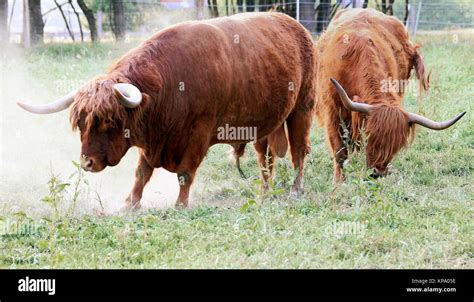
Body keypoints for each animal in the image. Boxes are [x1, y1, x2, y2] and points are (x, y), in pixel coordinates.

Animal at [17, 12, 314, 210]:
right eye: (81, 124)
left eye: (109, 123)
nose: (87, 163)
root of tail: (292, 23)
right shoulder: (153, 143)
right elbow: (141, 173)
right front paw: (129, 204)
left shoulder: (198, 135)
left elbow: (185, 173)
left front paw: (180, 205)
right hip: (265, 124)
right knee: (266, 159)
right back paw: (264, 192)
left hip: (302, 108)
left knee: (299, 152)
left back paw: (295, 190)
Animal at [316, 9, 464, 182]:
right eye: (370, 136)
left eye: (396, 146)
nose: (378, 173)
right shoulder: (332, 110)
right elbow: (339, 150)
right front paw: (339, 181)